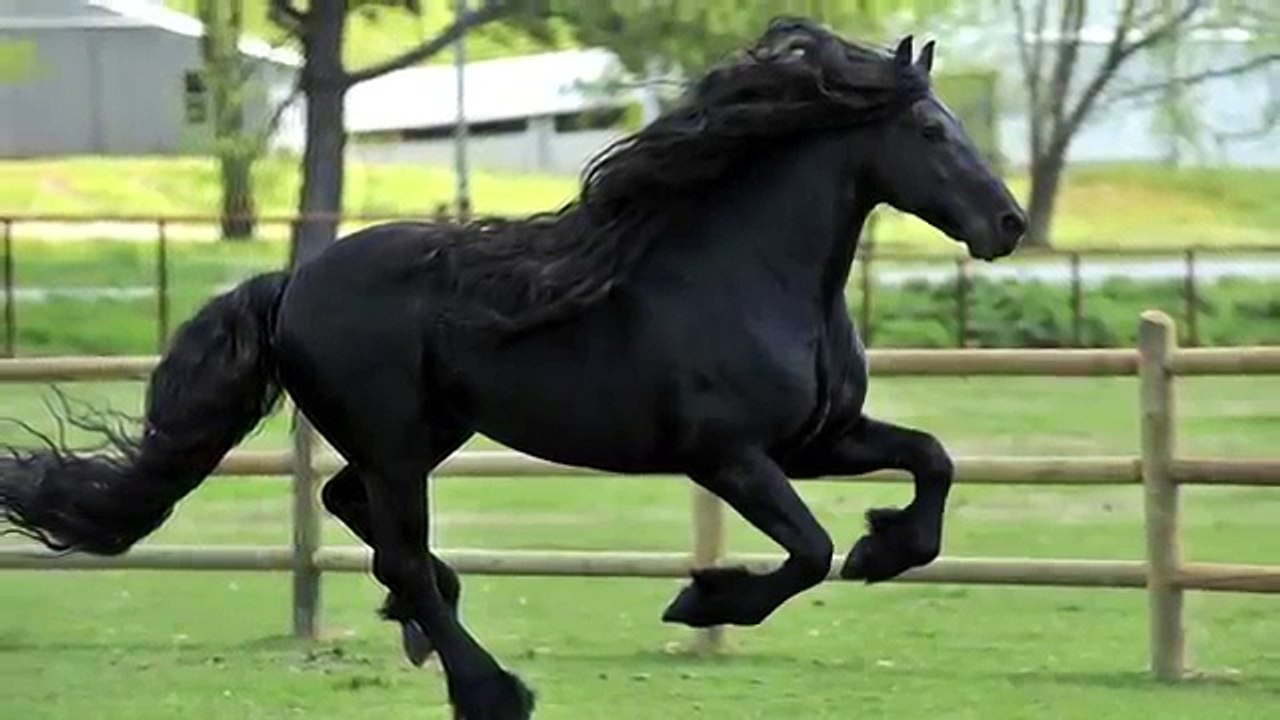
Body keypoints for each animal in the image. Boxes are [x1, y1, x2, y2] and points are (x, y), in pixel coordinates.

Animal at [0, 19, 1024, 720]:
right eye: (931, 131)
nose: (1008, 225)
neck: (754, 276)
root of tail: (293, 282)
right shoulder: (729, 455)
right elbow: (807, 550)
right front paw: (701, 598)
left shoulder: (820, 439)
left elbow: (931, 461)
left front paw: (885, 549)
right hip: (398, 444)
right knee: (400, 551)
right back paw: (489, 688)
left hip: (424, 435)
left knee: (356, 514)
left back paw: (425, 629)